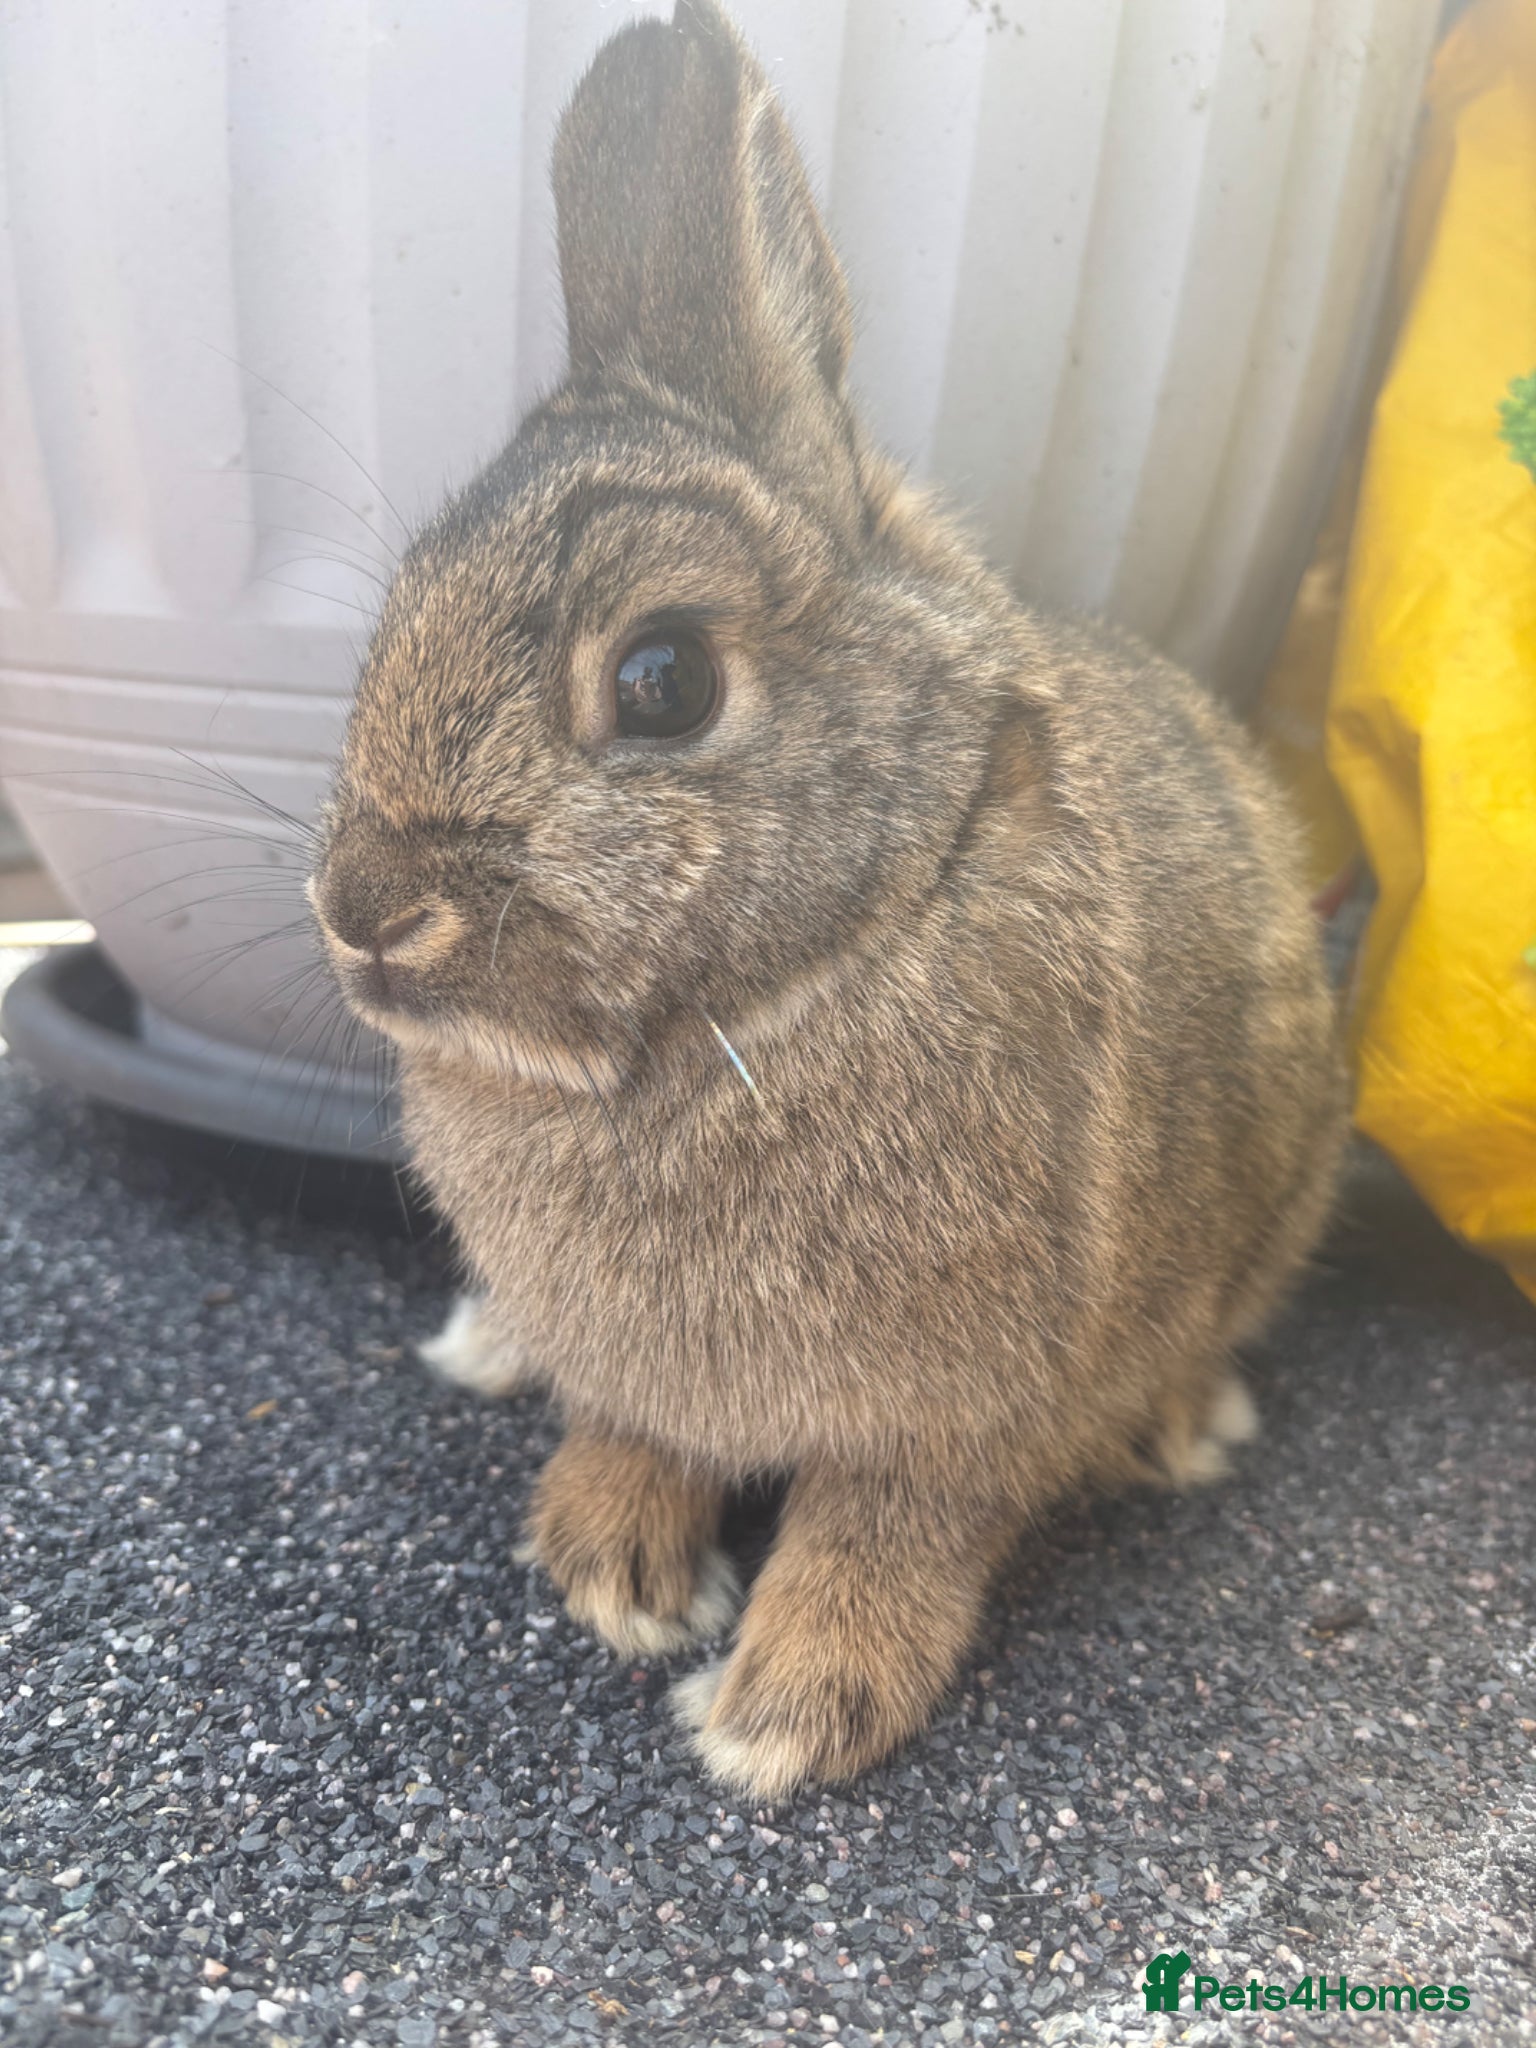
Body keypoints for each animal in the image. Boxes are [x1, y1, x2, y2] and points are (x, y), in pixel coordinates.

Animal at [307, 0, 1349, 1800]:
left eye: (662, 680)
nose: (363, 906)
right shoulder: (655, 1372)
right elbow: (632, 1427)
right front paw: (613, 1566)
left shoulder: (963, 1406)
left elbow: (888, 1532)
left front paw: (781, 1709)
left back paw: (1181, 1425)